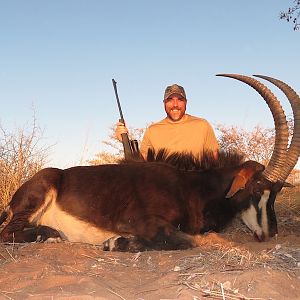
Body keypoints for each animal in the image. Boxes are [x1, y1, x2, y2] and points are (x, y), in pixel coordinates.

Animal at [0, 74, 300, 251]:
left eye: (275, 193)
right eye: (256, 190)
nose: (271, 233)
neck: (192, 188)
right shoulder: (144, 222)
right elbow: (192, 241)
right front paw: (115, 241)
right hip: (41, 190)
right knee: (7, 232)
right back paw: (49, 234)